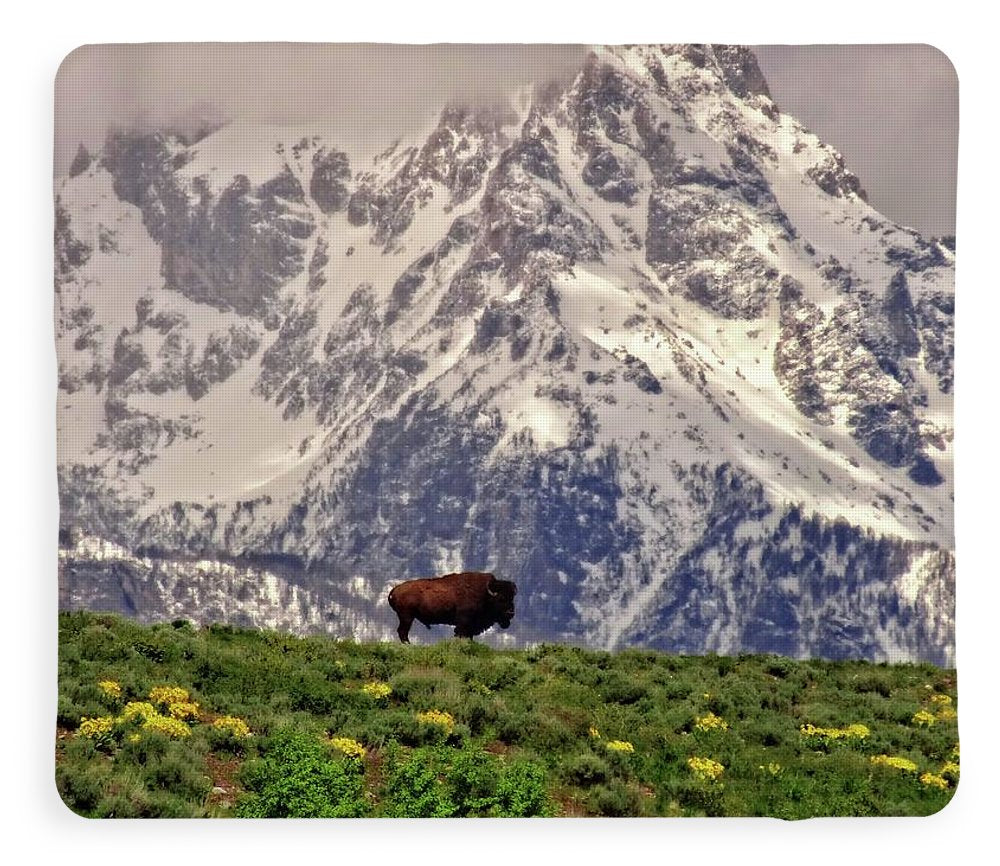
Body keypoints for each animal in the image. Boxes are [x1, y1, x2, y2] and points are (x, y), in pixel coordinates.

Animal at [386, 568, 520, 640]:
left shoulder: (470, 626)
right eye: (501, 599)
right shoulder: (463, 623)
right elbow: (461, 634)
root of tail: (395, 589)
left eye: (512, 598)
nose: (511, 613)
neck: (485, 594)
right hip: (407, 617)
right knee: (402, 632)